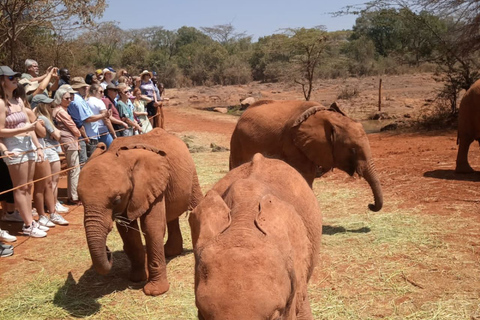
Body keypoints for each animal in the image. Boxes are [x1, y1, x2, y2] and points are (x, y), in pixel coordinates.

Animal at [76, 127, 202, 296]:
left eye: (116, 200)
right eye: (80, 200)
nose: (108, 251)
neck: (120, 157)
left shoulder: (152, 183)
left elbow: (151, 226)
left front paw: (154, 291)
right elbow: (128, 232)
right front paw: (136, 279)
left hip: (192, 173)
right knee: (171, 216)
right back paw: (170, 252)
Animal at [229, 99, 382, 211]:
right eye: (352, 149)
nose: (370, 205)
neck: (327, 117)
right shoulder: (293, 145)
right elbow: (304, 176)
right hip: (237, 142)